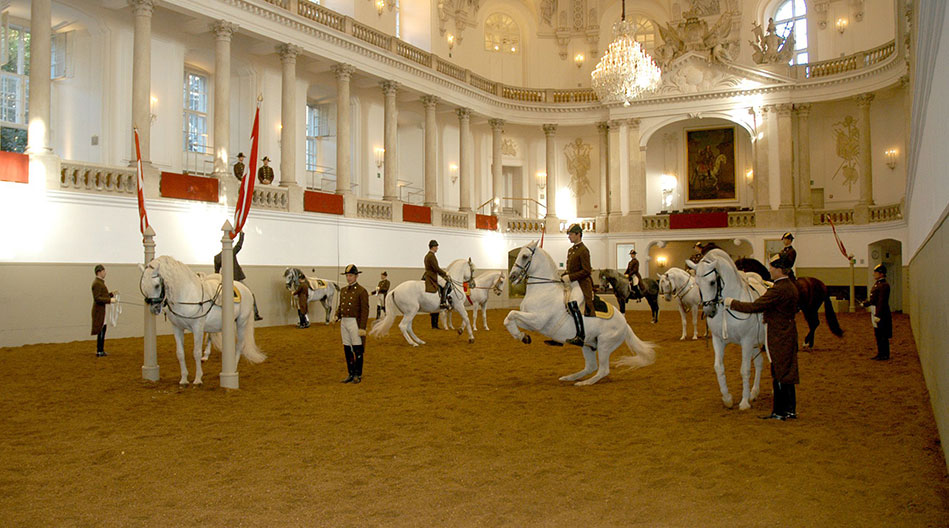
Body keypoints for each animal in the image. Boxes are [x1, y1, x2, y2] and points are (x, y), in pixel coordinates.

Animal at [138, 256, 262, 388]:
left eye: (157, 285)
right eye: (143, 286)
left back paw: (233, 368)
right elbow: (180, 353)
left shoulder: (197, 327)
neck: (187, 295)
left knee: (239, 345)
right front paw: (184, 379)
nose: (154, 308)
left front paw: (198, 379)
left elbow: (196, 352)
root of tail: (246, 289)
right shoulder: (177, 328)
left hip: (241, 323)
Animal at [504, 241, 652, 386]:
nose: (512, 276)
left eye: (525, 256)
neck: (544, 289)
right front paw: (523, 336)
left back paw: (584, 383)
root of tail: (625, 324)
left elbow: (511, 315)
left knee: (603, 370)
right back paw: (568, 378)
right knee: (591, 367)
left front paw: (521, 336)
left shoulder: (537, 321)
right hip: (589, 344)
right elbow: (509, 319)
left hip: (604, 345)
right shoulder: (531, 322)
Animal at [692, 250, 768, 410]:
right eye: (697, 283)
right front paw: (727, 399)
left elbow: (745, 370)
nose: (708, 311)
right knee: (759, 363)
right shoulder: (718, 340)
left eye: (712, 282)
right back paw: (754, 393)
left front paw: (744, 402)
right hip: (754, 344)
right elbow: (719, 368)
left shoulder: (746, 341)